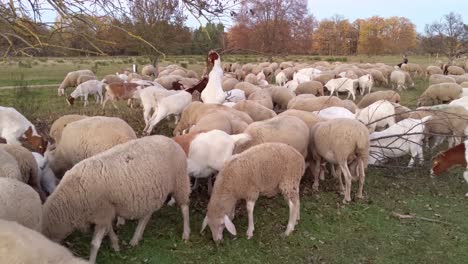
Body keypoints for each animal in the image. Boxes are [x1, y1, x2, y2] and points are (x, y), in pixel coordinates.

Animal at [42, 136, 191, 264]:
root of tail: (172, 140)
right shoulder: (106, 212)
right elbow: (109, 230)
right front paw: (115, 244)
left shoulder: (102, 212)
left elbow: (95, 244)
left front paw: (92, 259)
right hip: (151, 193)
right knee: (146, 215)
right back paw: (136, 238)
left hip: (180, 180)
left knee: (184, 207)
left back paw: (186, 233)